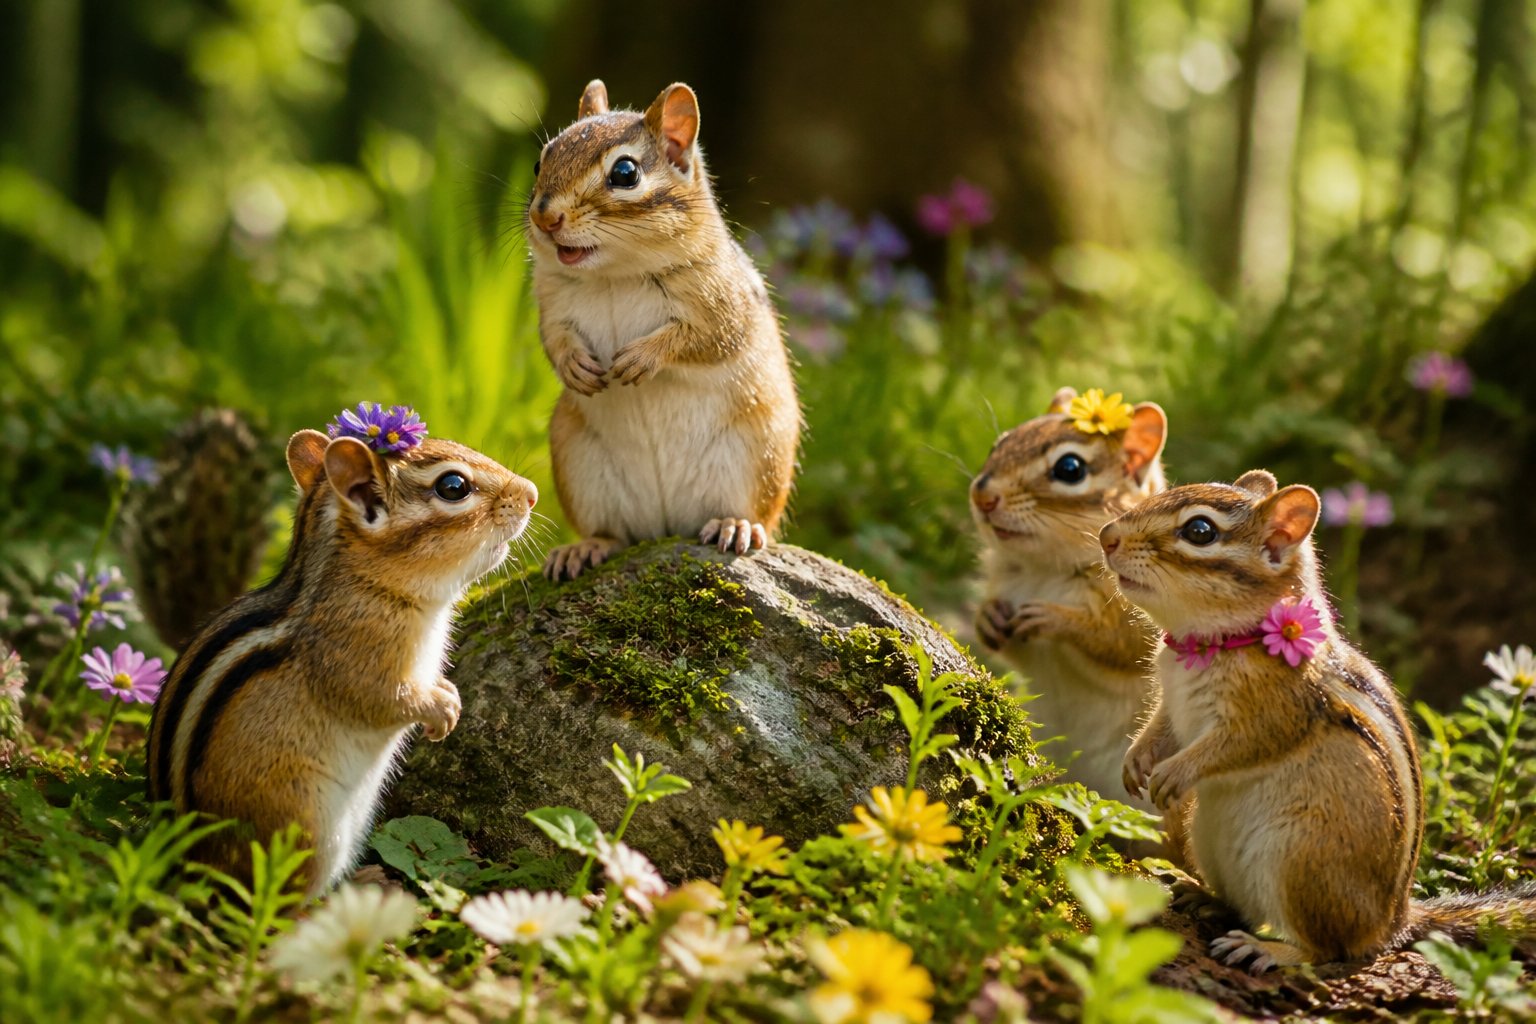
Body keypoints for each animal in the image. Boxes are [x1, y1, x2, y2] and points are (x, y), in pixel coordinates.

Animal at [147, 429, 537, 895]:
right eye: (453, 486)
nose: (532, 493)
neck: (367, 584)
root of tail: (186, 864)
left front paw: (449, 695)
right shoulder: (357, 659)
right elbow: (384, 700)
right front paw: (441, 709)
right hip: (305, 830)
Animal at [527, 79, 800, 581]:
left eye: (625, 173)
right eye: (542, 160)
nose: (544, 217)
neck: (615, 273)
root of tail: (666, 526)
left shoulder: (721, 306)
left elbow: (701, 340)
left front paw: (641, 358)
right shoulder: (552, 305)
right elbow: (554, 341)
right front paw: (575, 366)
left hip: (760, 456)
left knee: (751, 516)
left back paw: (736, 526)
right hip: (578, 462)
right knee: (614, 534)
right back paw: (585, 548)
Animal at [971, 386, 1168, 811]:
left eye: (1070, 469)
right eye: (999, 443)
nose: (982, 496)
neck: (1045, 569)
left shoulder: (1142, 618)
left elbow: (1120, 645)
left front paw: (1056, 619)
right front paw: (986, 617)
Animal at [1101, 469, 1536, 972]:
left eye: (1200, 531)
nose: (1106, 536)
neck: (1222, 641)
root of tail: (1394, 922)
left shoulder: (1276, 710)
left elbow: (1237, 745)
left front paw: (1175, 771)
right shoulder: (1172, 703)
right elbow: (1160, 729)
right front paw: (1135, 760)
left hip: (1299, 861)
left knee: (1327, 947)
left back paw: (1267, 947)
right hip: (1209, 841)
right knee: (1246, 909)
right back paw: (1205, 897)